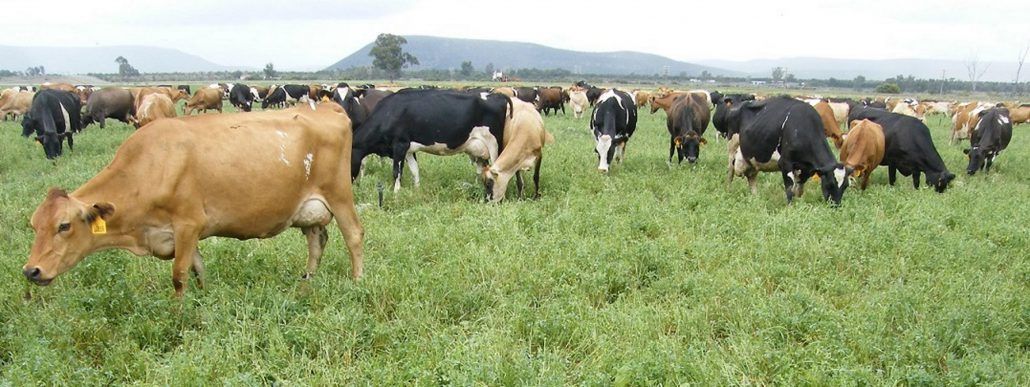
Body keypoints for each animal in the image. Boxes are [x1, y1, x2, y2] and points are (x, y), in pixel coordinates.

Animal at [20, 102, 368, 296]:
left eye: (64, 226)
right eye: (34, 226)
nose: (31, 271)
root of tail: (325, 106)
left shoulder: (187, 223)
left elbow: (179, 275)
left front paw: (179, 313)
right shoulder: (185, 234)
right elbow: (198, 270)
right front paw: (204, 300)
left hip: (339, 194)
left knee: (353, 235)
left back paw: (357, 282)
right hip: (309, 209)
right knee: (316, 241)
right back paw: (307, 282)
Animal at [352, 89, 512, 192]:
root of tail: (497, 94)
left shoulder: (399, 145)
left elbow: (396, 172)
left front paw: (395, 194)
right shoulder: (409, 149)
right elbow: (415, 170)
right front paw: (417, 191)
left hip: (495, 145)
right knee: (482, 169)